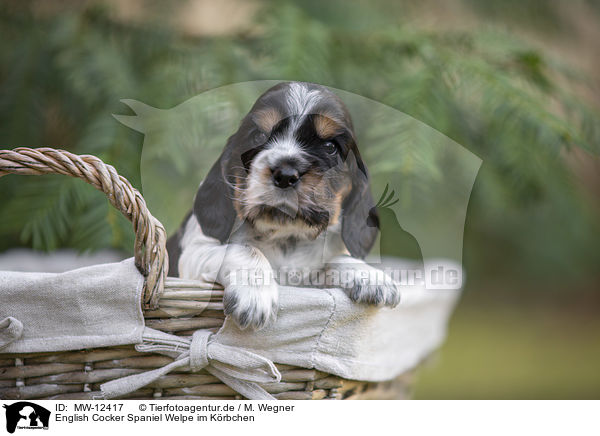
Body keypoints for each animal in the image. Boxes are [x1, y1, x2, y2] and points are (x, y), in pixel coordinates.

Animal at [165, 82, 398, 330]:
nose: (285, 175)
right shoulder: (193, 255)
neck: (285, 235)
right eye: (258, 135)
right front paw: (255, 296)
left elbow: (331, 261)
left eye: (330, 146)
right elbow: (244, 249)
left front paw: (369, 275)